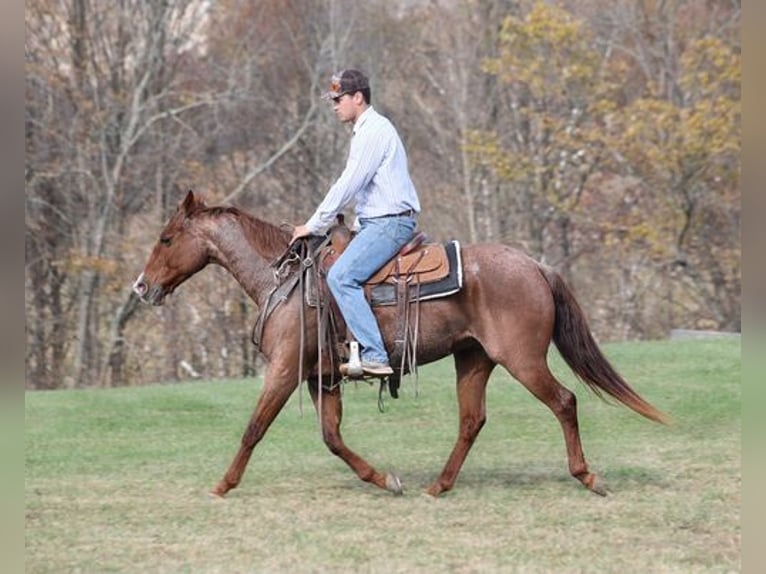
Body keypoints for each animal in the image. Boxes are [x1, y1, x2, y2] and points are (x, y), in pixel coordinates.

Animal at [135, 191, 668, 502]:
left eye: (166, 238)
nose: (141, 287)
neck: (282, 279)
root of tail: (536, 265)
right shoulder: (320, 378)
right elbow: (332, 438)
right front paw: (385, 479)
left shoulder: (285, 371)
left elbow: (253, 428)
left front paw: (223, 484)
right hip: (473, 360)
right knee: (472, 420)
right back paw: (439, 485)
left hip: (523, 360)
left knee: (564, 401)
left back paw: (589, 477)